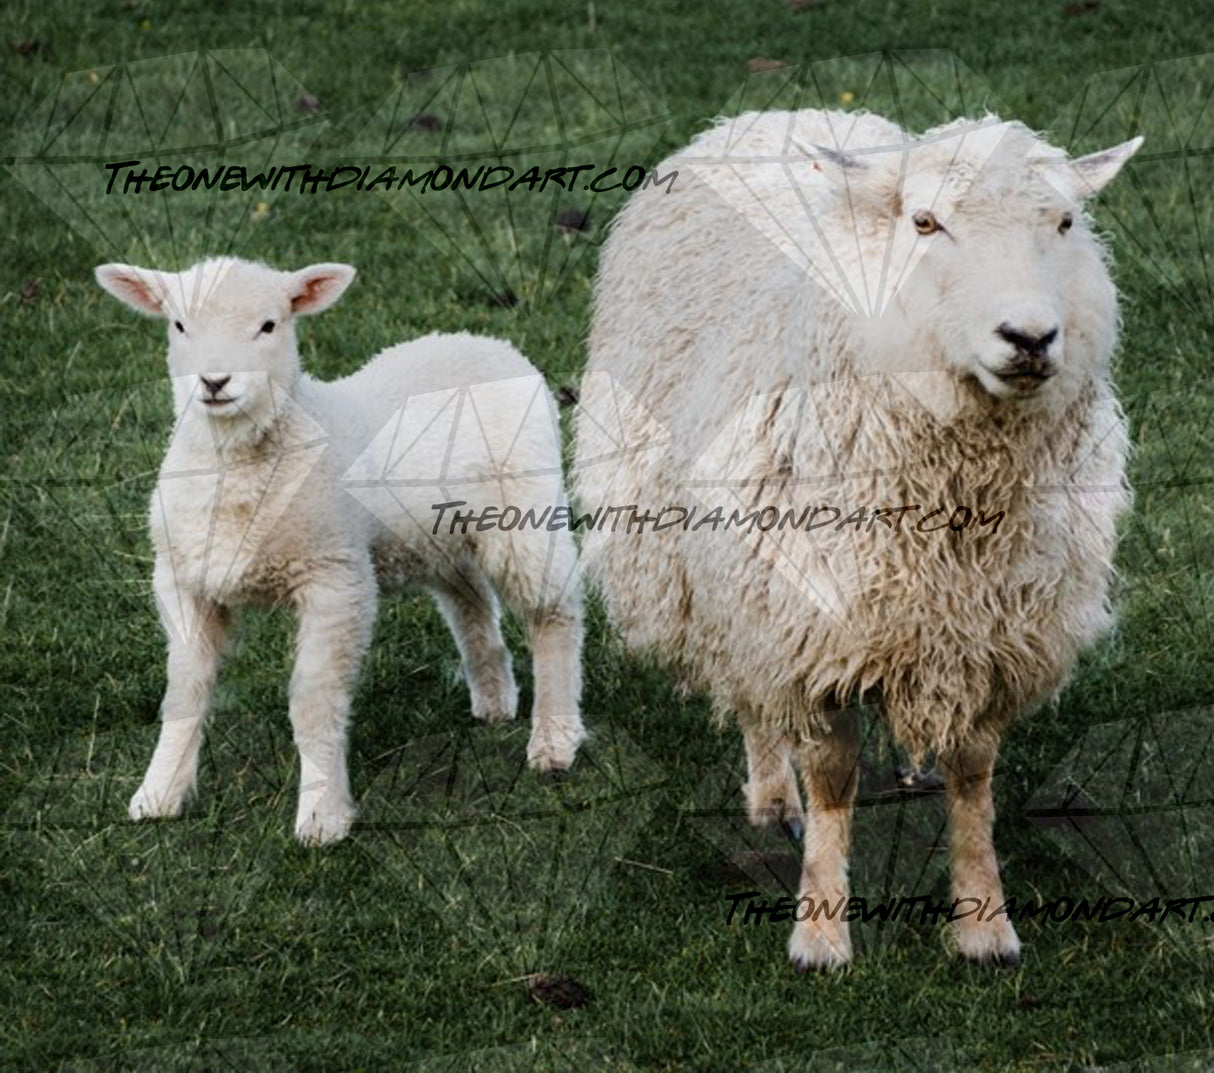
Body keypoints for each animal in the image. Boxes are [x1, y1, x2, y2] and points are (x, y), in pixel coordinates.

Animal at [95, 256, 585, 846]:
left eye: (269, 325)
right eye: (178, 325)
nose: (214, 382)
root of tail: (486, 340)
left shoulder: (334, 577)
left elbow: (314, 701)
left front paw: (321, 815)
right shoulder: (183, 580)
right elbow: (184, 694)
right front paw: (159, 793)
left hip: (525, 511)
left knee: (554, 613)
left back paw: (555, 738)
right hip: (438, 534)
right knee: (469, 596)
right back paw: (493, 696)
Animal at [573, 109, 1142, 969]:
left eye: (1066, 223)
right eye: (926, 222)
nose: (1029, 337)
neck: (956, 501)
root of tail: (777, 114)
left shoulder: (992, 630)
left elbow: (974, 777)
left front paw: (984, 923)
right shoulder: (811, 625)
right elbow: (833, 777)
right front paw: (820, 931)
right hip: (736, 580)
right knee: (752, 695)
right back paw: (773, 795)